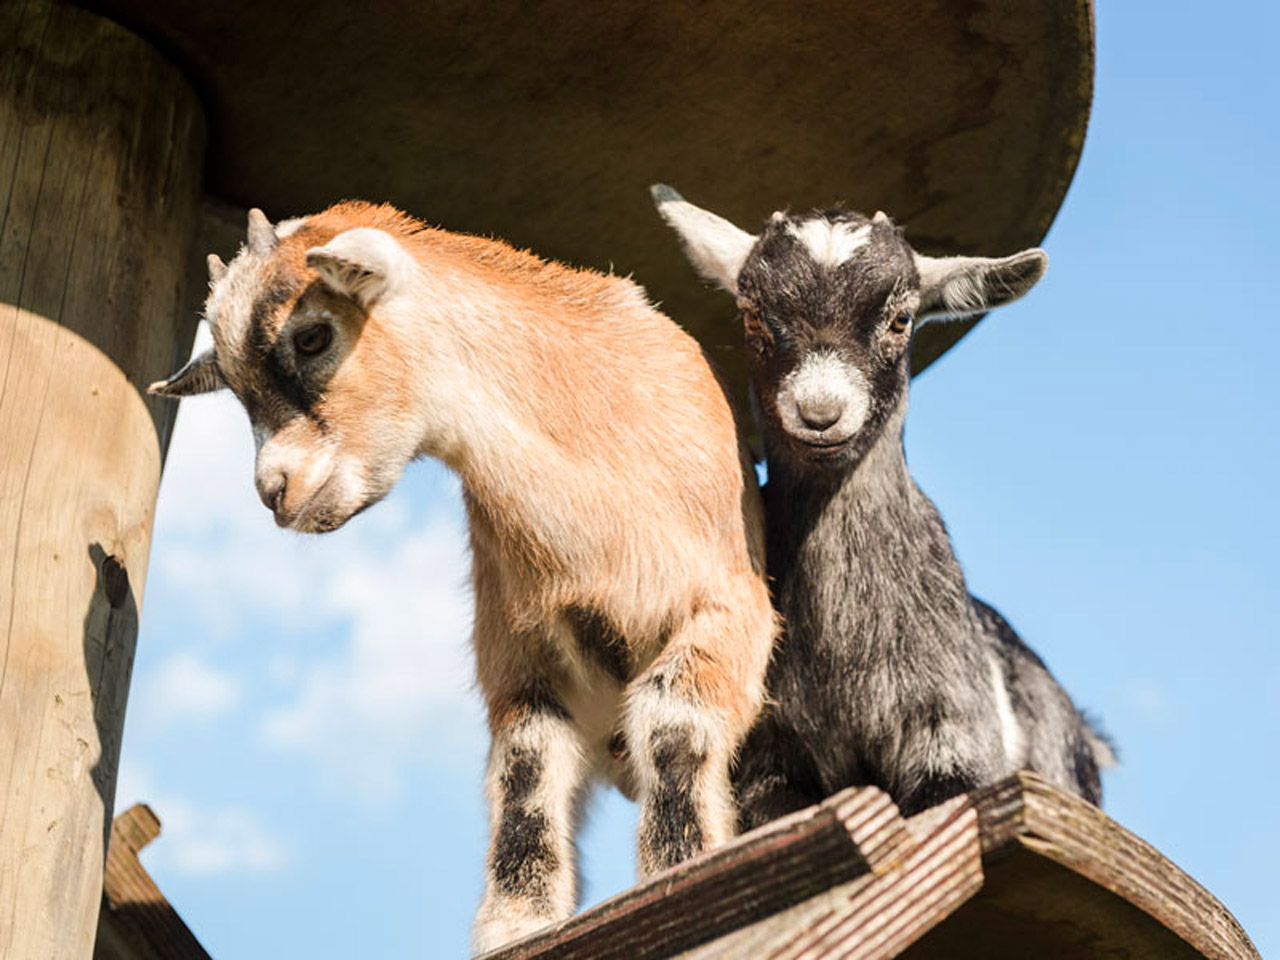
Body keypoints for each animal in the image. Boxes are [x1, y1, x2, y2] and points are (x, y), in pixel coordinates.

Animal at [145, 204, 773, 957]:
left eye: (313, 334)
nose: (276, 491)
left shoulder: (730, 608)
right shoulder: (517, 653)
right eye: (234, 386)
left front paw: (678, 869)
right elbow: (526, 764)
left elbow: (672, 723)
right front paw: (516, 923)